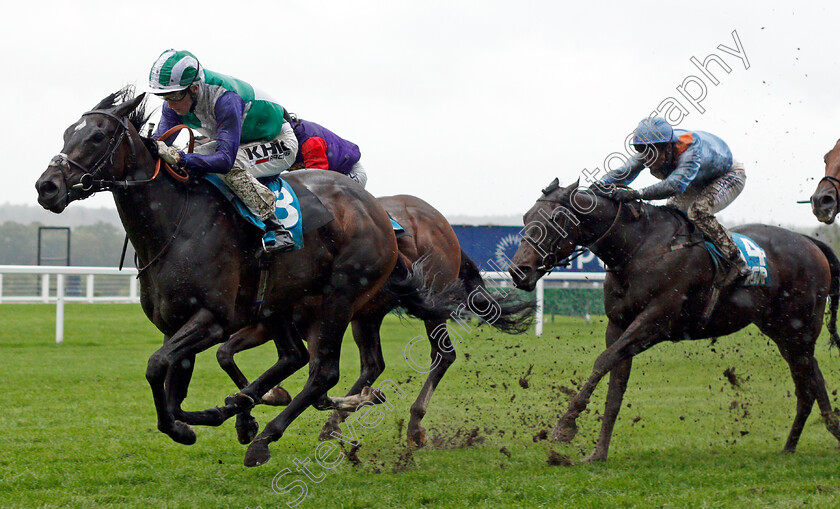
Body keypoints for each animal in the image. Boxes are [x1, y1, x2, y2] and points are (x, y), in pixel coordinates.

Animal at [35, 86, 446, 464]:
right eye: (67, 133)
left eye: (97, 136)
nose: (46, 186)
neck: (176, 224)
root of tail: (380, 212)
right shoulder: (176, 324)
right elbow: (175, 392)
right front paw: (217, 416)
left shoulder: (212, 319)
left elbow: (156, 367)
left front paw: (205, 424)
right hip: (287, 304)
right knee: (297, 357)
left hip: (341, 296)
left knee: (326, 371)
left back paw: (271, 436)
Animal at [215, 192, 532, 446]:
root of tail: (444, 225)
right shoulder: (264, 324)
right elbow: (225, 354)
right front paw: (254, 411)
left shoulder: (313, 322)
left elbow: (315, 379)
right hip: (367, 316)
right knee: (373, 364)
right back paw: (336, 421)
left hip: (431, 300)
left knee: (442, 355)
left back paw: (414, 424)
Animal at [506, 178, 840, 460]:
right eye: (525, 218)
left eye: (555, 219)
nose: (519, 271)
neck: (637, 248)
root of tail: (809, 241)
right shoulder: (618, 325)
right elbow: (615, 386)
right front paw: (598, 453)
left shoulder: (656, 322)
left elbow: (603, 362)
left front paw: (565, 426)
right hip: (784, 332)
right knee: (814, 377)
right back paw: (808, 438)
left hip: (799, 330)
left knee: (807, 385)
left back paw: (799, 442)